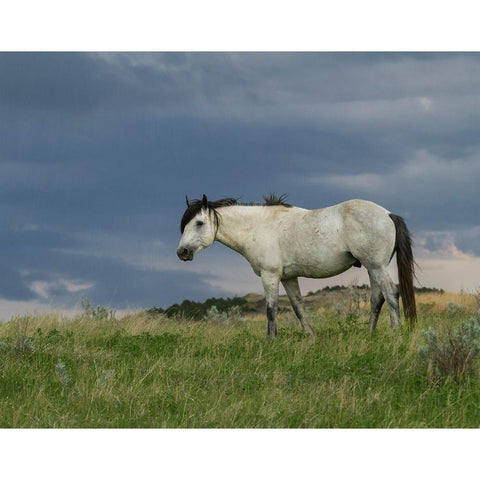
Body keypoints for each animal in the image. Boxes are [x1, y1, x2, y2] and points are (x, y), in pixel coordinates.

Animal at [177, 194, 416, 338]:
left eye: (199, 223)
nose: (182, 252)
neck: (258, 227)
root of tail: (387, 214)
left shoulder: (270, 275)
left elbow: (271, 309)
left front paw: (270, 340)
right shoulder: (288, 277)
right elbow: (298, 307)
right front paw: (310, 337)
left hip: (377, 267)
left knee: (391, 294)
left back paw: (395, 334)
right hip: (372, 268)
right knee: (377, 299)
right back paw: (369, 335)